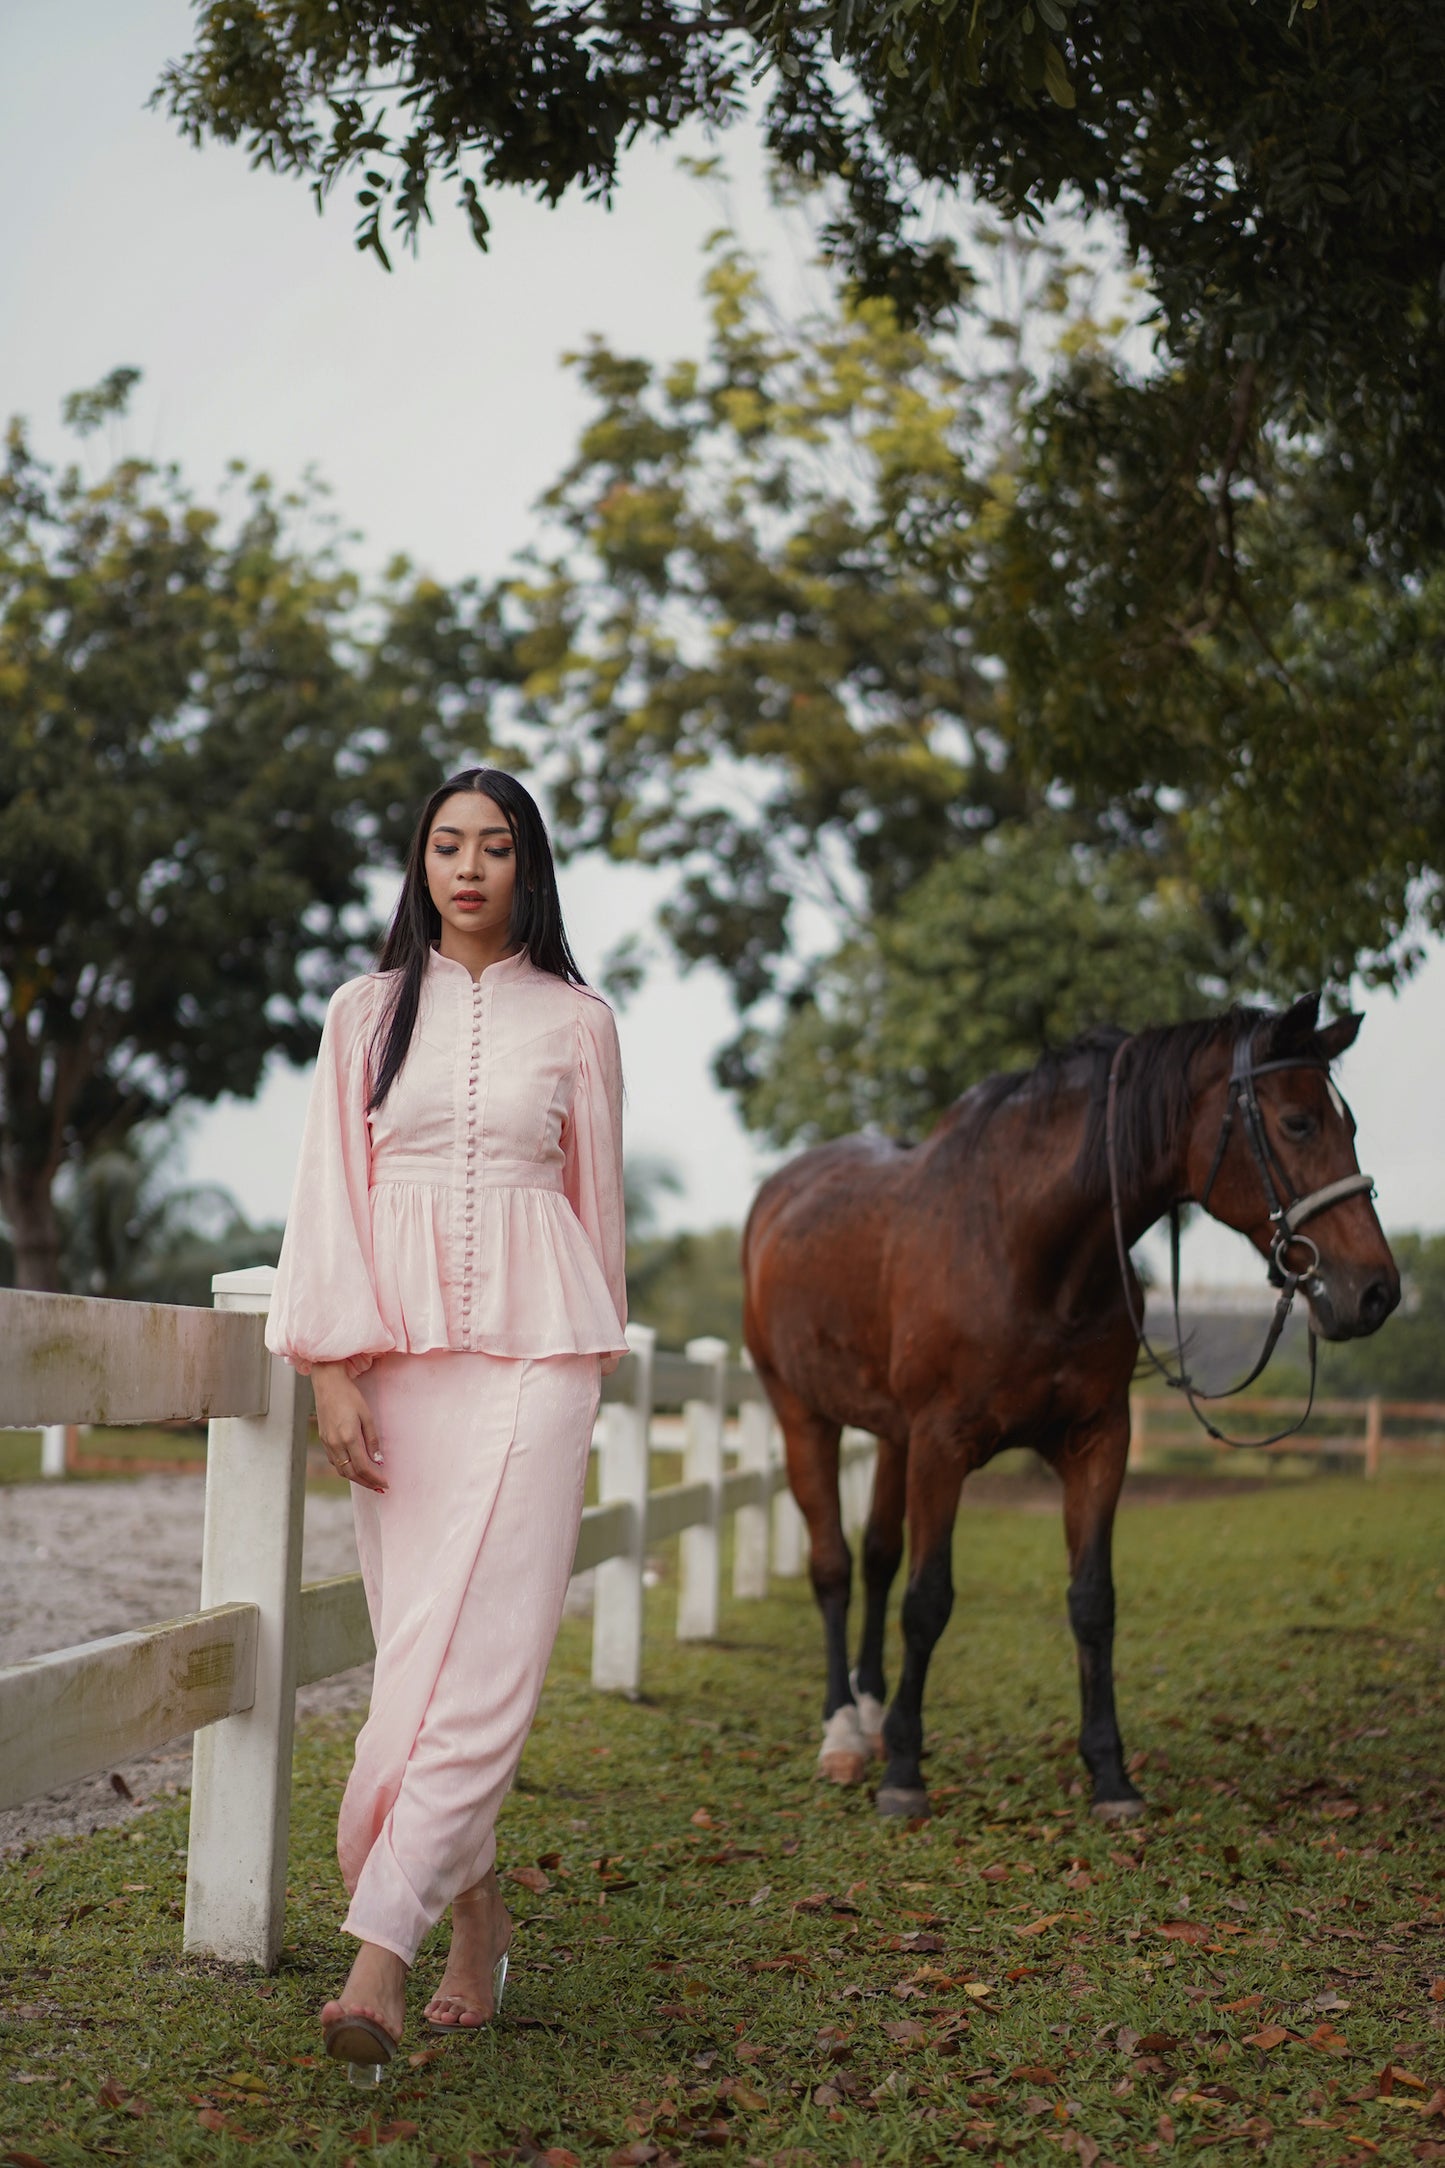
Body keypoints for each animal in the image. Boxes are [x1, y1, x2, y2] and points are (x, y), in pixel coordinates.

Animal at [740, 1005, 1395, 1821]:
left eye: (1350, 1124)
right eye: (1298, 1122)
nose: (1376, 1291)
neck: (1025, 1243)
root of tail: (778, 1197)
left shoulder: (1096, 1440)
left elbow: (1091, 1601)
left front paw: (1110, 1776)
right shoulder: (942, 1444)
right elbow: (928, 1601)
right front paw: (904, 1774)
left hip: (891, 1437)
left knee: (877, 1557)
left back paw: (866, 1712)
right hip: (802, 1413)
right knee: (831, 1565)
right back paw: (842, 1734)